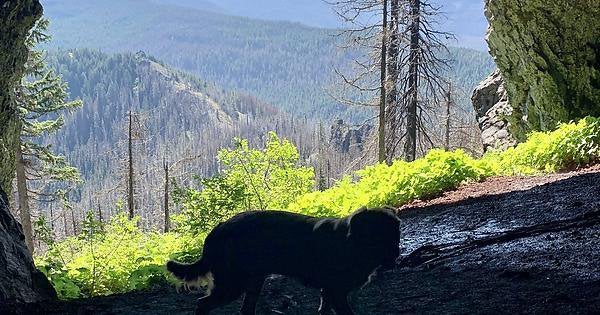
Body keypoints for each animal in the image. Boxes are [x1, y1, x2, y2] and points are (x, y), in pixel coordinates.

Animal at [166, 207, 398, 315]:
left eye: (396, 235)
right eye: (379, 237)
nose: (395, 257)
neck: (352, 244)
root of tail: (217, 230)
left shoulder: (328, 292)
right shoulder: (336, 292)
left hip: (253, 281)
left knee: (245, 309)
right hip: (232, 283)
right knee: (203, 303)